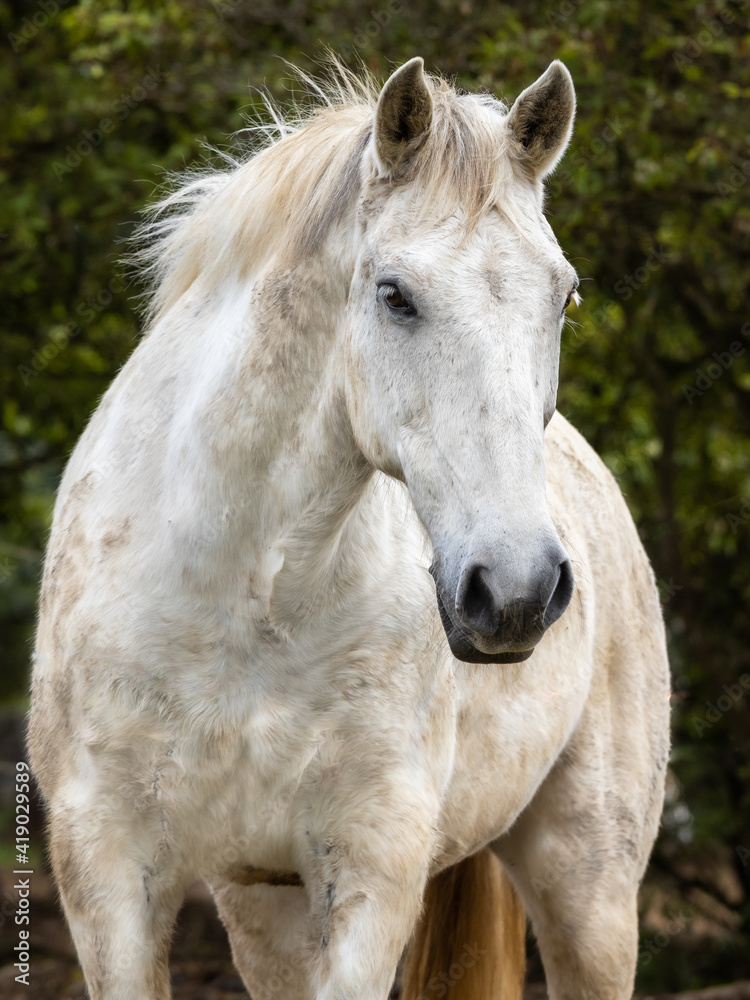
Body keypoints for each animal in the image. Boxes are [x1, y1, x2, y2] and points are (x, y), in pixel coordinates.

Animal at [29, 57, 670, 1000]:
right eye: (394, 294)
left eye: (565, 294)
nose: (517, 589)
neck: (248, 598)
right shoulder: (105, 872)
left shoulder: (372, 870)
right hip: (265, 911)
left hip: (590, 887)